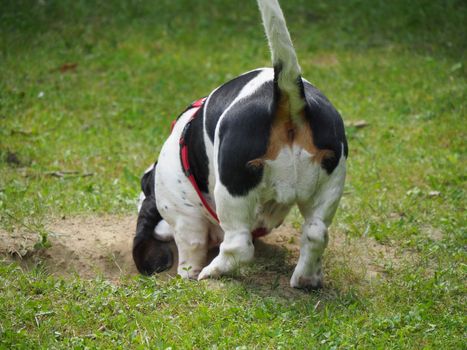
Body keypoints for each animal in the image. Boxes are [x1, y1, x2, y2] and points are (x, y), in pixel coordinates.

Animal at [132, 0, 348, 290]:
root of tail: (287, 96)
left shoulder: (183, 215)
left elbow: (191, 247)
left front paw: (188, 274)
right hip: (331, 181)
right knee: (316, 234)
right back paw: (307, 278)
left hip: (233, 189)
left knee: (238, 245)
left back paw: (213, 271)